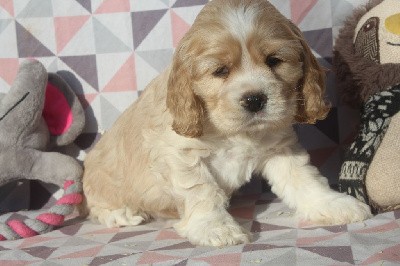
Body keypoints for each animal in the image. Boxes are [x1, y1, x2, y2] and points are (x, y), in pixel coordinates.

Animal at [82, 0, 372, 246]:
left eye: (274, 60)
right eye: (220, 70)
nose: (254, 99)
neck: (233, 132)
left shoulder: (280, 147)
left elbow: (303, 178)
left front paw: (332, 204)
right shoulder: (181, 155)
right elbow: (201, 192)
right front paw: (216, 228)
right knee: (97, 208)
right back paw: (121, 213)